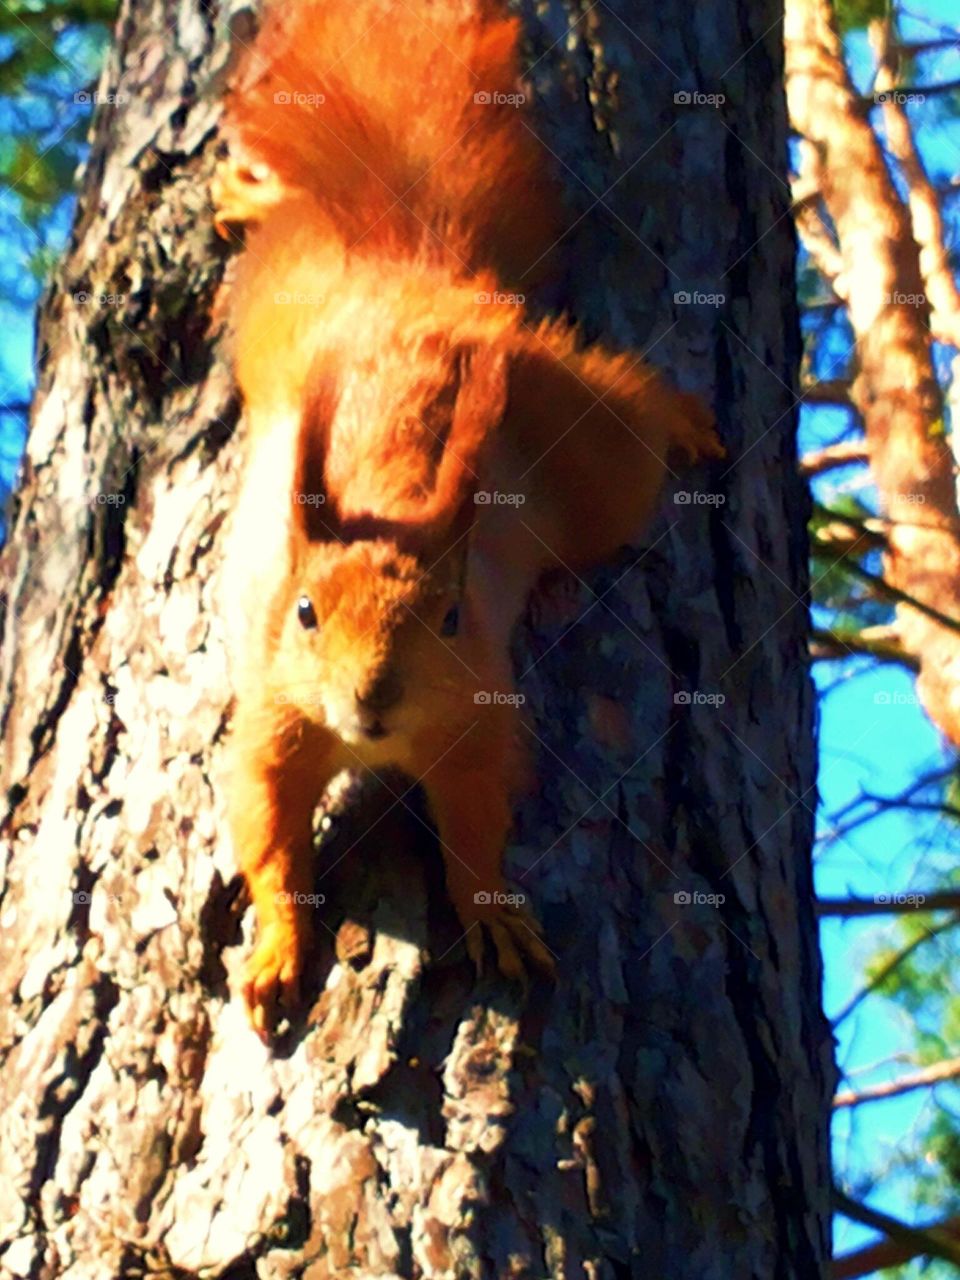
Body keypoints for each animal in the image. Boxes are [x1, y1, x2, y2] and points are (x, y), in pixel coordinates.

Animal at [214, 0, 722, 1038]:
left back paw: (685, 418)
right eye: (304, 613)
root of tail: (418, 274)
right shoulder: (272, 718)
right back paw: (247, 194)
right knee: (282, 224)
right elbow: (266, 832)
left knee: (630, 406)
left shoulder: (481, 720)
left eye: (451, 617)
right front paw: (279, 948)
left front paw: (493, 916)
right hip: (277, 297)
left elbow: (480, 824)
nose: (373, 697)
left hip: (594, 460)